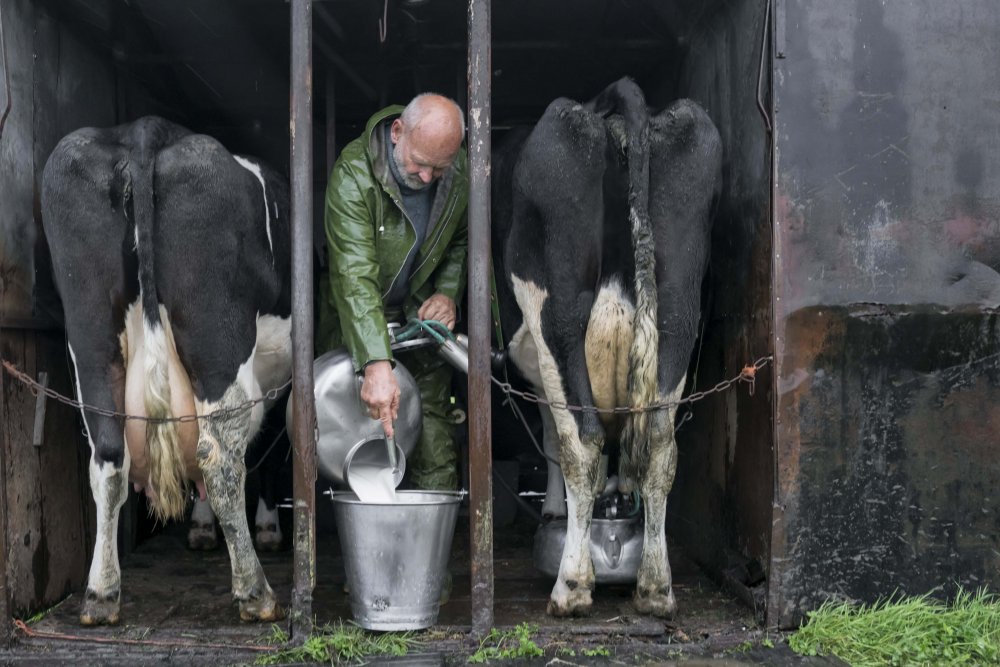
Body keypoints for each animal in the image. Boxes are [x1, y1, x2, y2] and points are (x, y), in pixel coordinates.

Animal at [41, 116, 292, 628]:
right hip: (219, 338)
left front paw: (201, 529)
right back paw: (256, 592)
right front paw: (267, 529)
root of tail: (144, 129)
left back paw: (101, 594)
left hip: (90, 334)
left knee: (109, 457)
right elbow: (268, 457)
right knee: (218, 456)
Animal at [496, 81, 724, 620]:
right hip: (678, 311)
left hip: (556, 315)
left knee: (581, 442)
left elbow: (554, 439)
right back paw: (655, 588)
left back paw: (572, 586)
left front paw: (555, 510)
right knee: (660, 444)